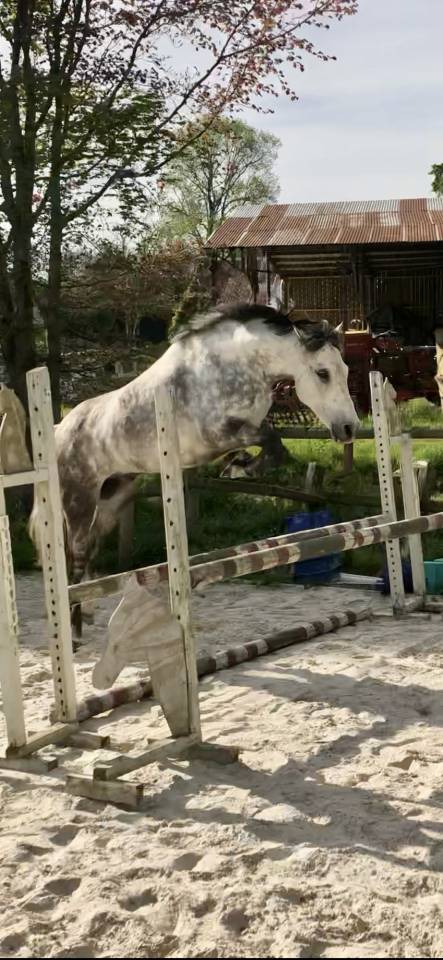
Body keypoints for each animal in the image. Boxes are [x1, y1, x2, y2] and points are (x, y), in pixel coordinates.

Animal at [29, 303, 359, 635]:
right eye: (323, 373)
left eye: (345, 371)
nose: (350, 428)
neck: (236, 365)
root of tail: (58, 431)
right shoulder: (215, 434)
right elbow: (272, 441)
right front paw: (241, 470)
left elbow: (270, 445)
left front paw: (238, 465)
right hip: (79, 502)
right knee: (75, 557)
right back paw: (74, 630)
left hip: (112, 498)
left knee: (88, 554)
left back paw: (87, 613)